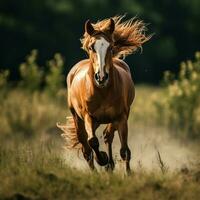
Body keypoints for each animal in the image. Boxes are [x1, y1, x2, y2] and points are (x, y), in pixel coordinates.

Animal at [57, 15, 152, 173]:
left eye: (111, 47)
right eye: (91, 47)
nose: (101, 77)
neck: (103, 92)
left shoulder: (121, 117)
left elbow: (124, 150)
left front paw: (127, 173)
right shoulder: (89, 117)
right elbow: (93, 141)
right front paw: (102, 158)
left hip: (113, 119)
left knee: (108, 137)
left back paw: (110, 166)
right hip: (78, 119)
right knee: (86, 149)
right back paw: (97, 169)